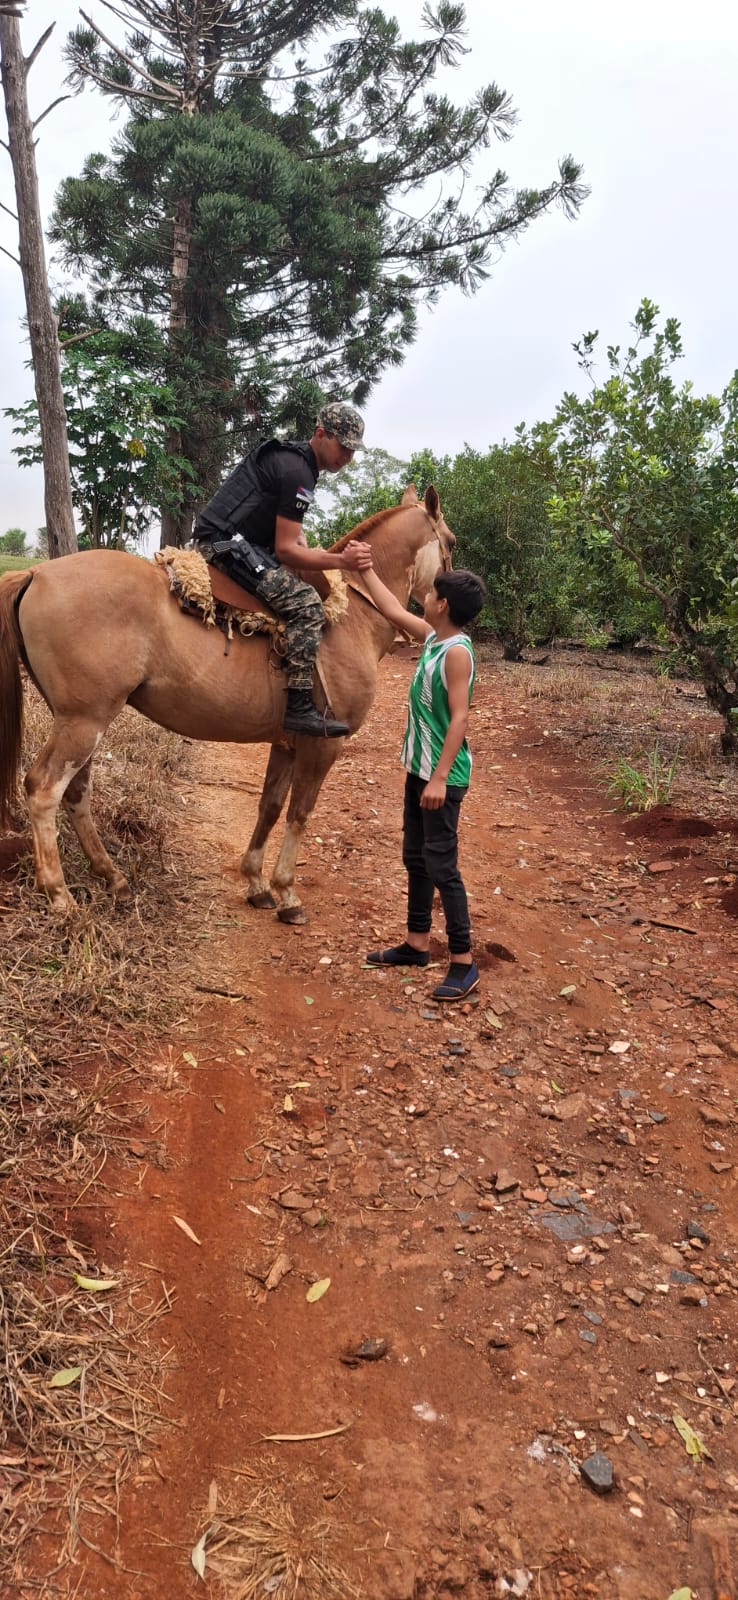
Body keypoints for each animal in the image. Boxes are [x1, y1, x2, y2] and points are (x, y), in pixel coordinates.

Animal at [0, 480, 454, 921]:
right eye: (449, 541)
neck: (350, 616)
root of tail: (36, 572)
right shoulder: (324, 744)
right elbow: (300, 813)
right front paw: (287, 893)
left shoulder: (287, 743)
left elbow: (270, 807)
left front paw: (257, 884)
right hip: (84, 722)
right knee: (44, 789)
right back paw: (60, 896)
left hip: (80, 722)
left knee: (76, 793)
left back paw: (112, 878)